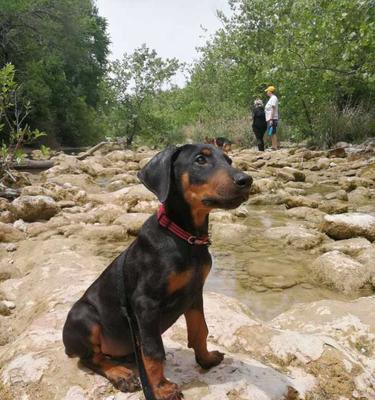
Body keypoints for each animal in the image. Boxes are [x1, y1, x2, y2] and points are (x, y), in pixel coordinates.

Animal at [63, 145, 253, 400]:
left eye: (228, 160)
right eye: (200, 160)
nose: (246, 180)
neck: (186, 238)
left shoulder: (195, 293)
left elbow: (200, 330)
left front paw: (205, 359)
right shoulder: (145, 303)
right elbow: (154, 350)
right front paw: (162, 387)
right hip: (83, 315)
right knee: (91, 358)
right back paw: (120, 374)